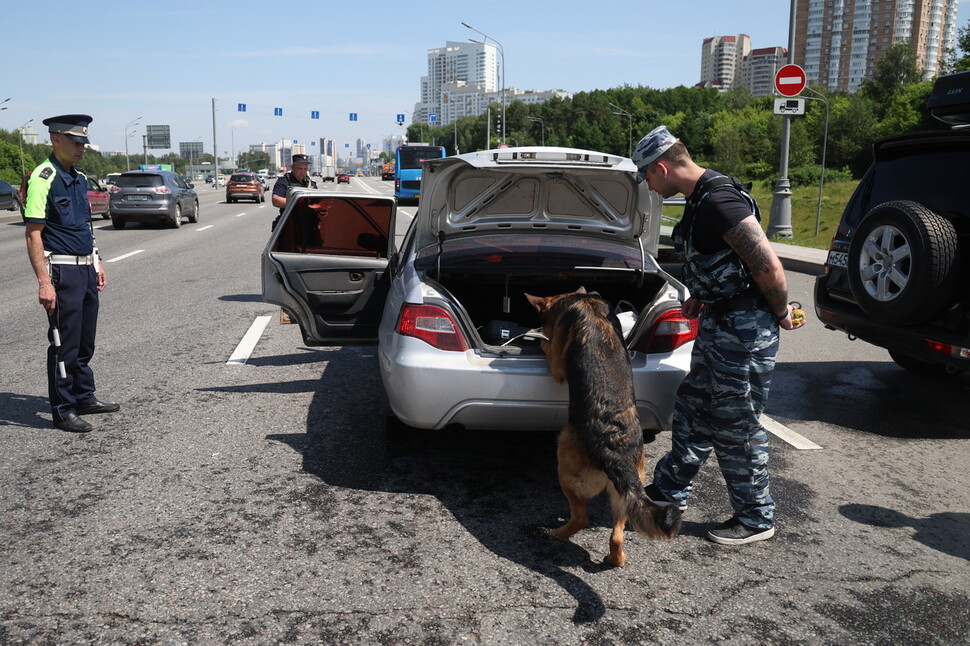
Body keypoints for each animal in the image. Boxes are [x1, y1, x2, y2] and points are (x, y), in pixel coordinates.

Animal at [524, 288, 676, 568]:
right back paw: (617, 558)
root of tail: (617, 454)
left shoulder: (556, 363)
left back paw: (556, 534)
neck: (585, 301)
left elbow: (548, 348)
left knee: (581, 518)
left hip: (565, 468)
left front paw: (540, 340)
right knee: (616, 535)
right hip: (624, 495)